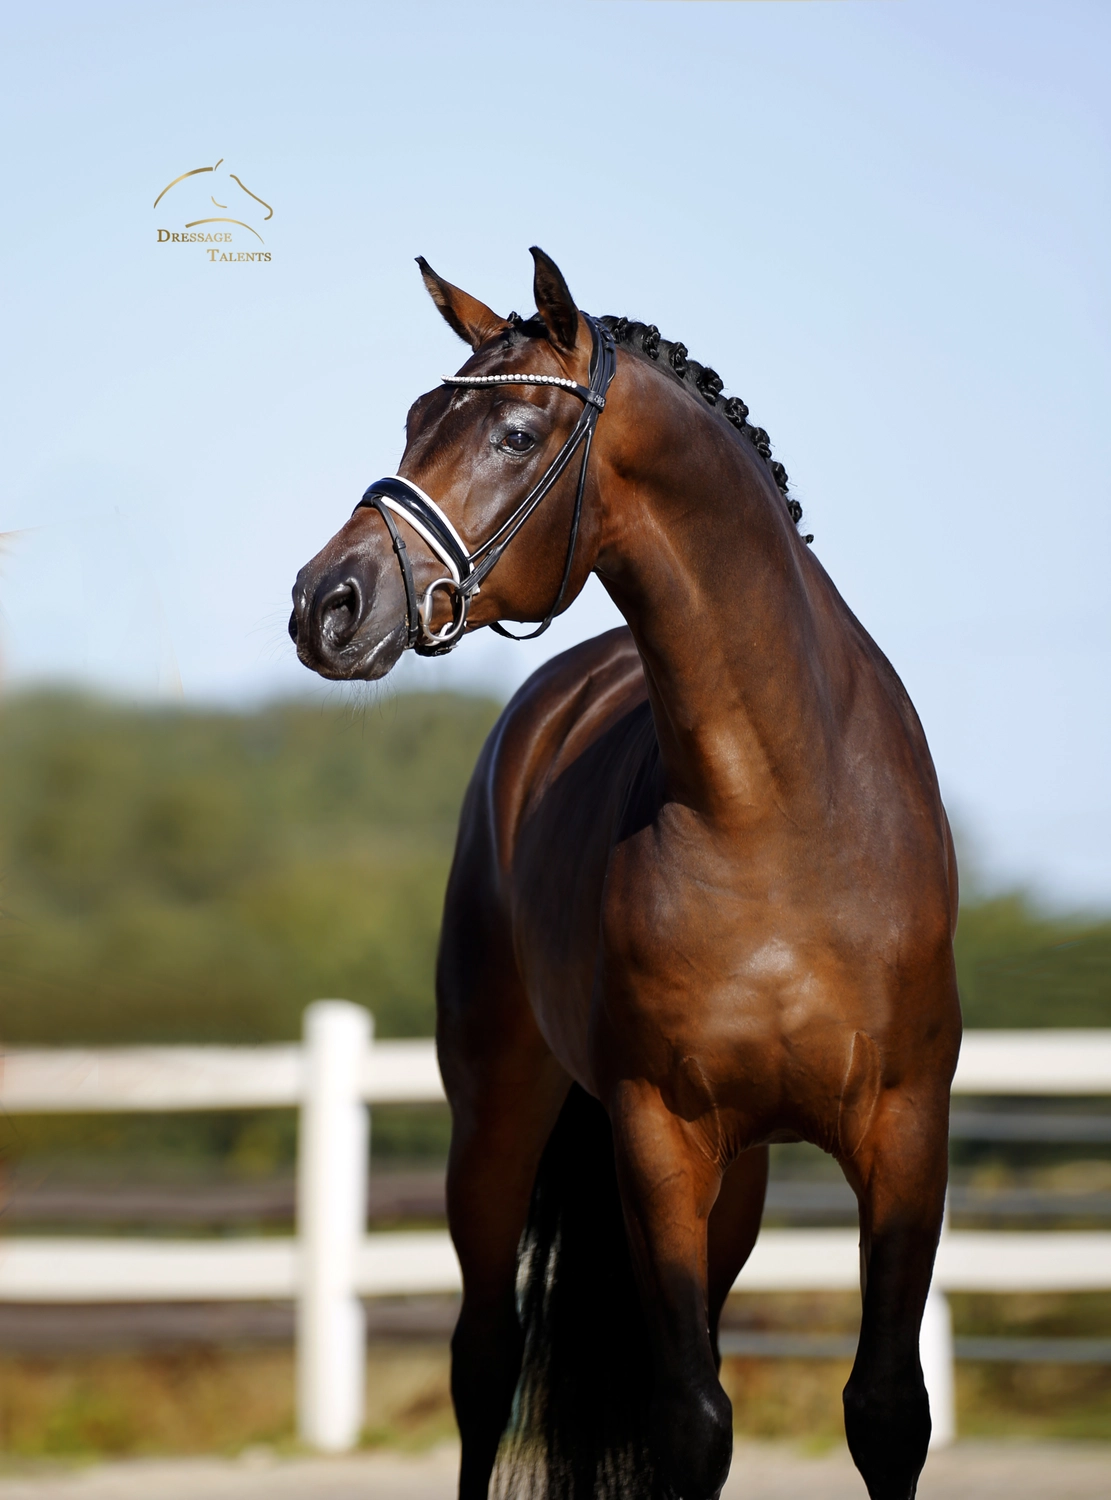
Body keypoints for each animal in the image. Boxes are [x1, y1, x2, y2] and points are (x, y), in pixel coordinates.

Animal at [289, 248, 962, 1500]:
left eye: (514, 431)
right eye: (413, 421)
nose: (327, 604)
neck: (779, 808)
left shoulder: (904, 1130)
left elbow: (887, 1407)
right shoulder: (660, 1134)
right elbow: (689, 1418)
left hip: (737, 1182)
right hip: (496, 1122)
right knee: (483, 1363)